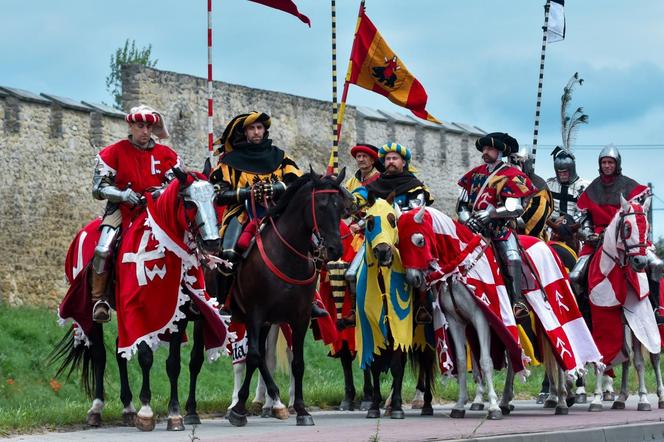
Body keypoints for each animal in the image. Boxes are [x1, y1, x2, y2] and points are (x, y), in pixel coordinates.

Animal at [51, 167, 231, 430]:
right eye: (189, 203)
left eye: (215, 199)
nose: (212, 242)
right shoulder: (139, 309)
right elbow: (145, 357)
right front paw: (146, 412)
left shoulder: (176, 315)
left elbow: (173, 364)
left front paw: (174, 414)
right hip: (92, 311)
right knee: (99, 354)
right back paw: (97, 409)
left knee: (119, 349)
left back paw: (127, 408)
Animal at [227, 168, 350, 424]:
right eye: (321, 206)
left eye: (339, 207)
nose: (334, 249)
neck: (285, 255)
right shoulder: (255, 315)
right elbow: (252, 357)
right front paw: (238, 408)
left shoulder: (299, 318)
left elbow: (297, 363)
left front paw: (301, 409)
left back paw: (275, 399)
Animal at [584, 196, 660, 410]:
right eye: (627, 228)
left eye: (647, 227)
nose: (641, 262)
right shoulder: (600, 320)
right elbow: (601, 357)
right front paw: (596, 399)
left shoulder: (638, 322)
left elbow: (640, 361)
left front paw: (643, 399)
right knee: (625, 357)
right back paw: (620, 398)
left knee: (654, 357)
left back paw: (660, 396)